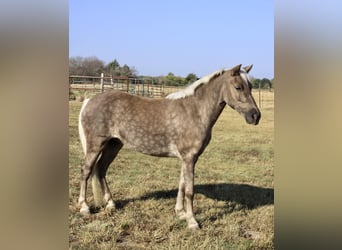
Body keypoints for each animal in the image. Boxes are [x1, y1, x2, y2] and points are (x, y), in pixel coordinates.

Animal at [77, 64, 260, 229]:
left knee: (101, 169)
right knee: (86, 171)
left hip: (113, 145)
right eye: (238, 87)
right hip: (95, 146)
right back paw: (84, 207)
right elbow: (190, 190)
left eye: (251, 87)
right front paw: (192, 222)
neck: (195, 111)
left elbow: (182, 185)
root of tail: (89, 101)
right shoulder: (189, 158)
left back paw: (111, 204)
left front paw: (180, 213)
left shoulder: (188, 158)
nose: (255, 116)